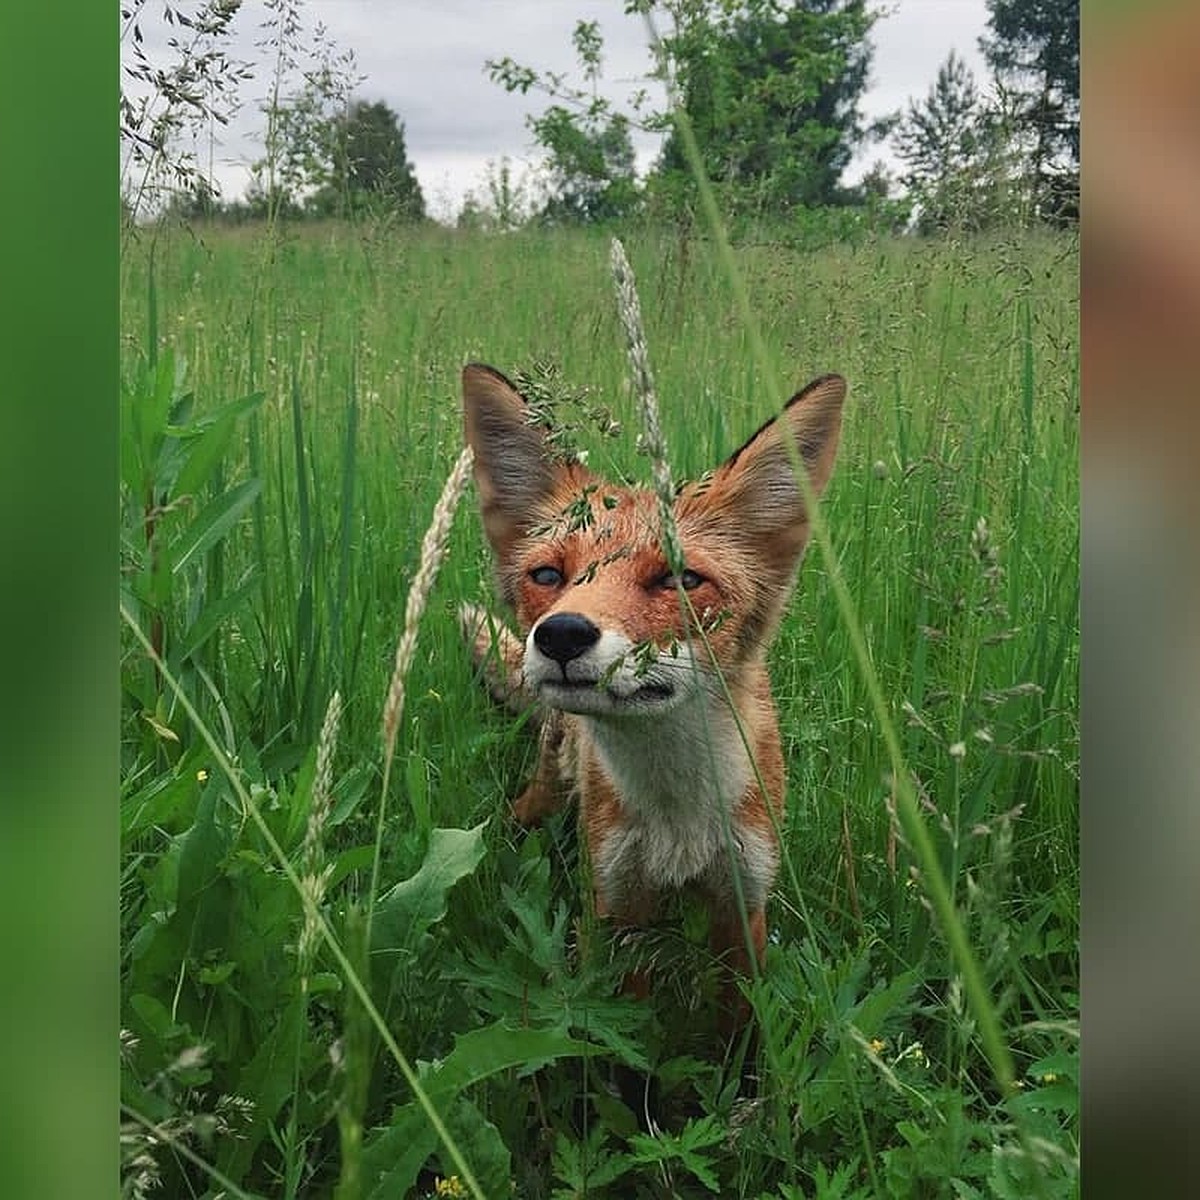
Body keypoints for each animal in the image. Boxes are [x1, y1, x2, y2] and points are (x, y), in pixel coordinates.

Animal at [458, 360, 844, 1027]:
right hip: (547, 793)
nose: (561, 633)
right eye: (548, 576)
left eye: (681, 579)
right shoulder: (615, 907)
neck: (678, 817)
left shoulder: (743, 904)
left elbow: (739, 1029)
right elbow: (625, 1036)